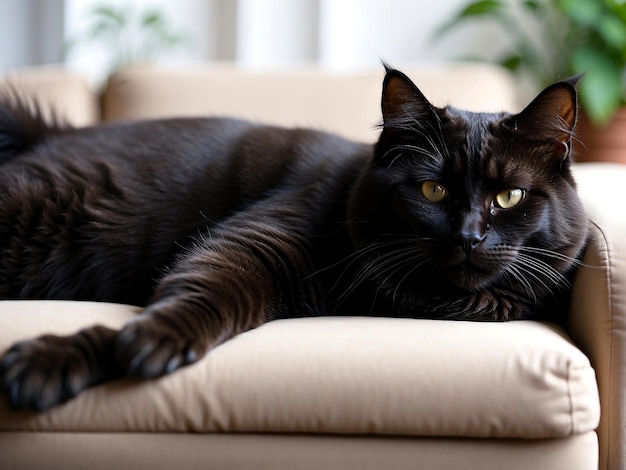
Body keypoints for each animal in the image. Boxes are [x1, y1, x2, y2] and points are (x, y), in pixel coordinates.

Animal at [0, 68, 584, 410]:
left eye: (509, 196)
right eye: (433, 189)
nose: (469, 236)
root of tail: (51, 136)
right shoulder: (256, 242)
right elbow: (197, 297)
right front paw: (119, 346)